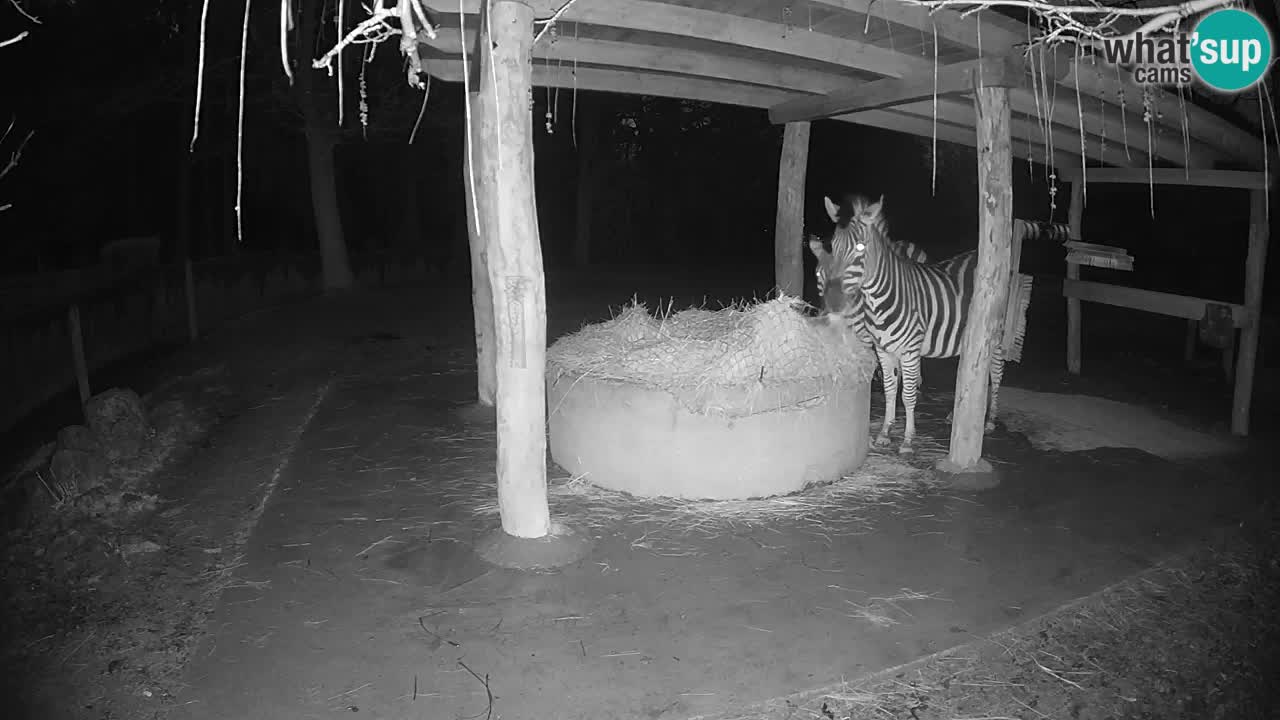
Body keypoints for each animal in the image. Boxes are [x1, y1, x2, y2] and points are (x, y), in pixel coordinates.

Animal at [808, 194, 1070, 453]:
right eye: (833, 246)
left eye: (860, 248)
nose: (833, 302)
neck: (875, 301)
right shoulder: (883, 349)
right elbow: (890, 389)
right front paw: (884, 432)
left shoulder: (910, 350)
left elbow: (908, 394)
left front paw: (908, 440)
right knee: (972, 372)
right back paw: (959, 415)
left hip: (996, 335)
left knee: (995, 373)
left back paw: (990, 420)